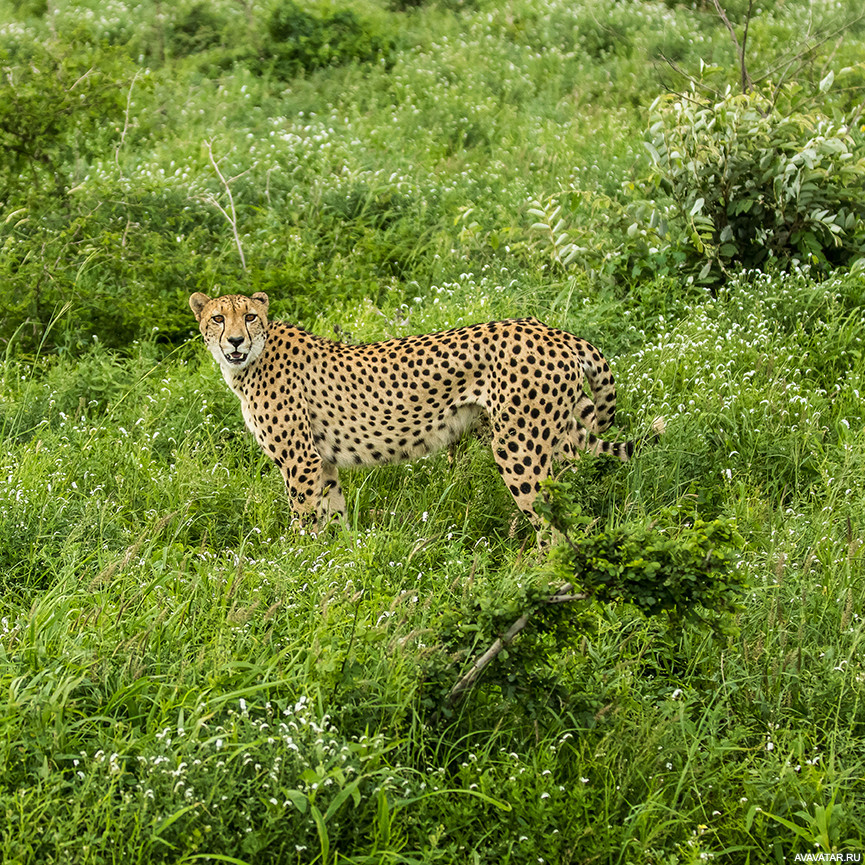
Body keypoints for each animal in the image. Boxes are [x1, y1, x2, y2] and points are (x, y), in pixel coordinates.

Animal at [189, 294, 660, 528]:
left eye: (250, 316)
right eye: (217, 318)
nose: (235, 341)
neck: (251, 361)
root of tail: (552, 330)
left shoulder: (300, 461)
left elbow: (304, 521)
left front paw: (296, 572)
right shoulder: (322, 461)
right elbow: (334, 518)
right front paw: (337, 568)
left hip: (518, 448)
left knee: (553, 521)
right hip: (553, 436)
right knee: (576, 496)